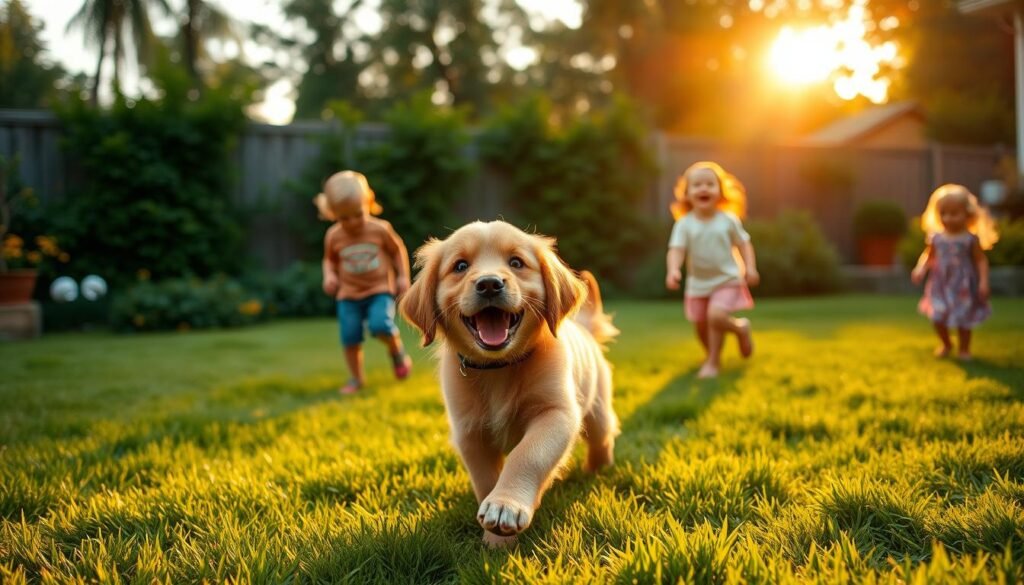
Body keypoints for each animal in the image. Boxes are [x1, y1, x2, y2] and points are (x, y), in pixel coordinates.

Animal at [399, 222, 618, 549]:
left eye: (516, 263)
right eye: (460, 266)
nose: (489, 284)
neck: (498, 368)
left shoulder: (556, 413)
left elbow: (528, 455)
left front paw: (506, 506)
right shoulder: (469, 431)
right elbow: (486, 479)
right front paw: (496, 539)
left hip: (598, 407)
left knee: (602, 438)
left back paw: (598, 469)